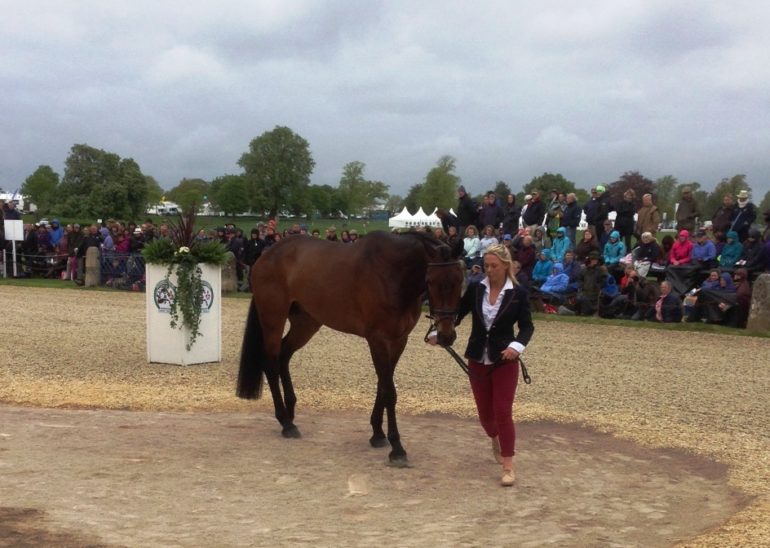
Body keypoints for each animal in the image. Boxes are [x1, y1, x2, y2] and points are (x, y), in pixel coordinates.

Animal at [236, 229, 462, 464]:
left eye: (460, 280)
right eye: (431, 281)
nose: (446, 335)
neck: (392, 274)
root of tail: (266, 255)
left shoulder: (399, 340)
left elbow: (383, 384)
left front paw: (378, 434)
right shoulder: (377, 339)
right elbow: (389, 390)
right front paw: (397, 448)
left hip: (306, 323)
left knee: (284, 356)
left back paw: (290, 413)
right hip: (273, 319)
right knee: (270, 363)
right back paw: (286, 422)